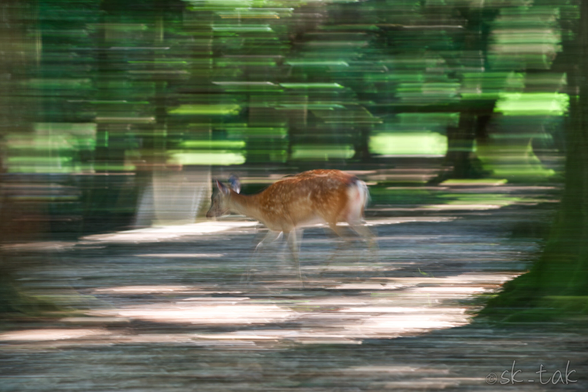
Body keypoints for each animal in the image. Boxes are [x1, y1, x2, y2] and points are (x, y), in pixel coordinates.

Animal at [204, 168, 374, 282]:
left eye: (214, 198)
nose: (207, 214)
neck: (261, 210)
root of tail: (359, 184)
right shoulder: (283, 227)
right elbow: (262, 246)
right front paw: (246, 277)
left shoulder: (285, 224)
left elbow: (291, 252)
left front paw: (298, 279)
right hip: (354, 215)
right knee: (369, 235)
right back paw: (369, 269)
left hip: (331, 215)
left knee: (352, 239)